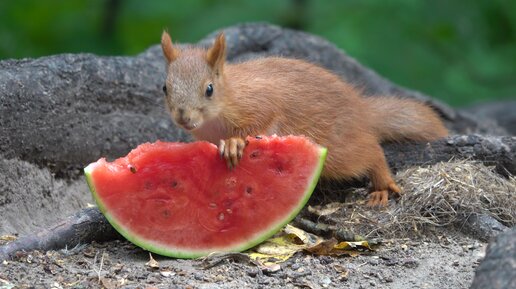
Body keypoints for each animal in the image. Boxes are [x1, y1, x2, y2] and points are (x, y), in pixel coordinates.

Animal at [160, 31, 448, 206]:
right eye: (165, 87)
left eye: (209, 89)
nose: (183, 118)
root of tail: (362, 112)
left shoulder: (259, 103)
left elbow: (259, 119)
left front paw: (234, 142)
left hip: (338, 151)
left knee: (370, 151)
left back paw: (383, 184)